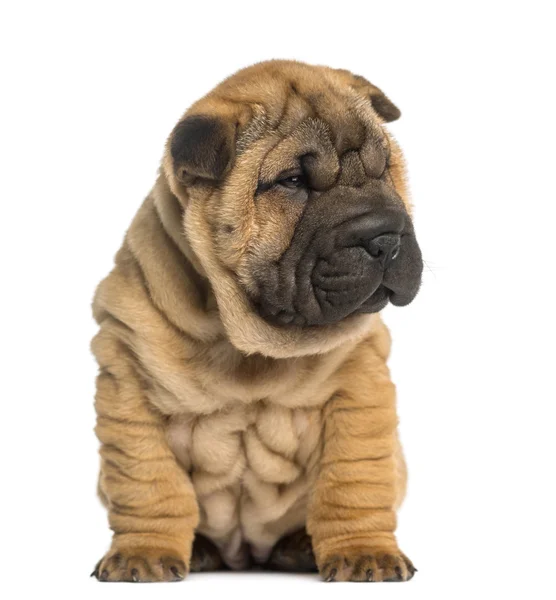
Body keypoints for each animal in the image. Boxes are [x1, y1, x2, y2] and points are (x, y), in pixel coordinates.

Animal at [90, 59, 422, 580]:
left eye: (384, 166)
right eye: (292, 182)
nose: (385, 238)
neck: (250, 344)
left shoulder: (359, 389)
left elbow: (354, 480)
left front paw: (365, 552)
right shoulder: (129, 382)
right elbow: (149, 483)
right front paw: (144, 553)